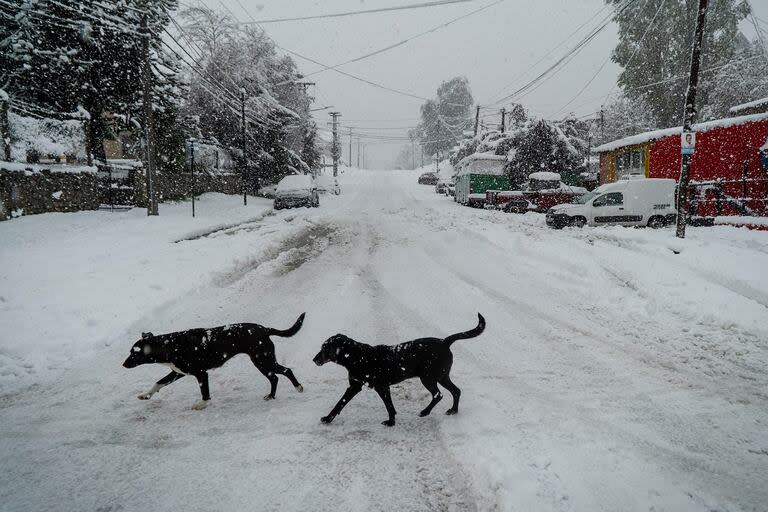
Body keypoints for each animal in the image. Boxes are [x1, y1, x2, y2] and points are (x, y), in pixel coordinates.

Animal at [123, 310, 306, 410]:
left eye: (134, 353)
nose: (123, 364)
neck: (170, 346)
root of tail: (265, 329)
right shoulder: (177, 372)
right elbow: (158, 383)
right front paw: (146, 395)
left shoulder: (201, 374)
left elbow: (205, 393)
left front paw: (201, 405)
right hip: (263, 362)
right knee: (275, 377)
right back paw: (271, 396)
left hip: (263, 361)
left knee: (284, 371)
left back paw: (297, 388)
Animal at [314, 314, 486, 426]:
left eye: (324, 348)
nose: (314, 359)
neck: (357, 356)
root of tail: (444, 342)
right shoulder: (355, 386)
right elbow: (340, 404)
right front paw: (328, 418)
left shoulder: (381, 387)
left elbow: (388, 406)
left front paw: (391, 422)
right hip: (442, 376)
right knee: (456, 391)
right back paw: (453, 410)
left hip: (428, 377)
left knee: (438, 395)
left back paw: (425, 412)